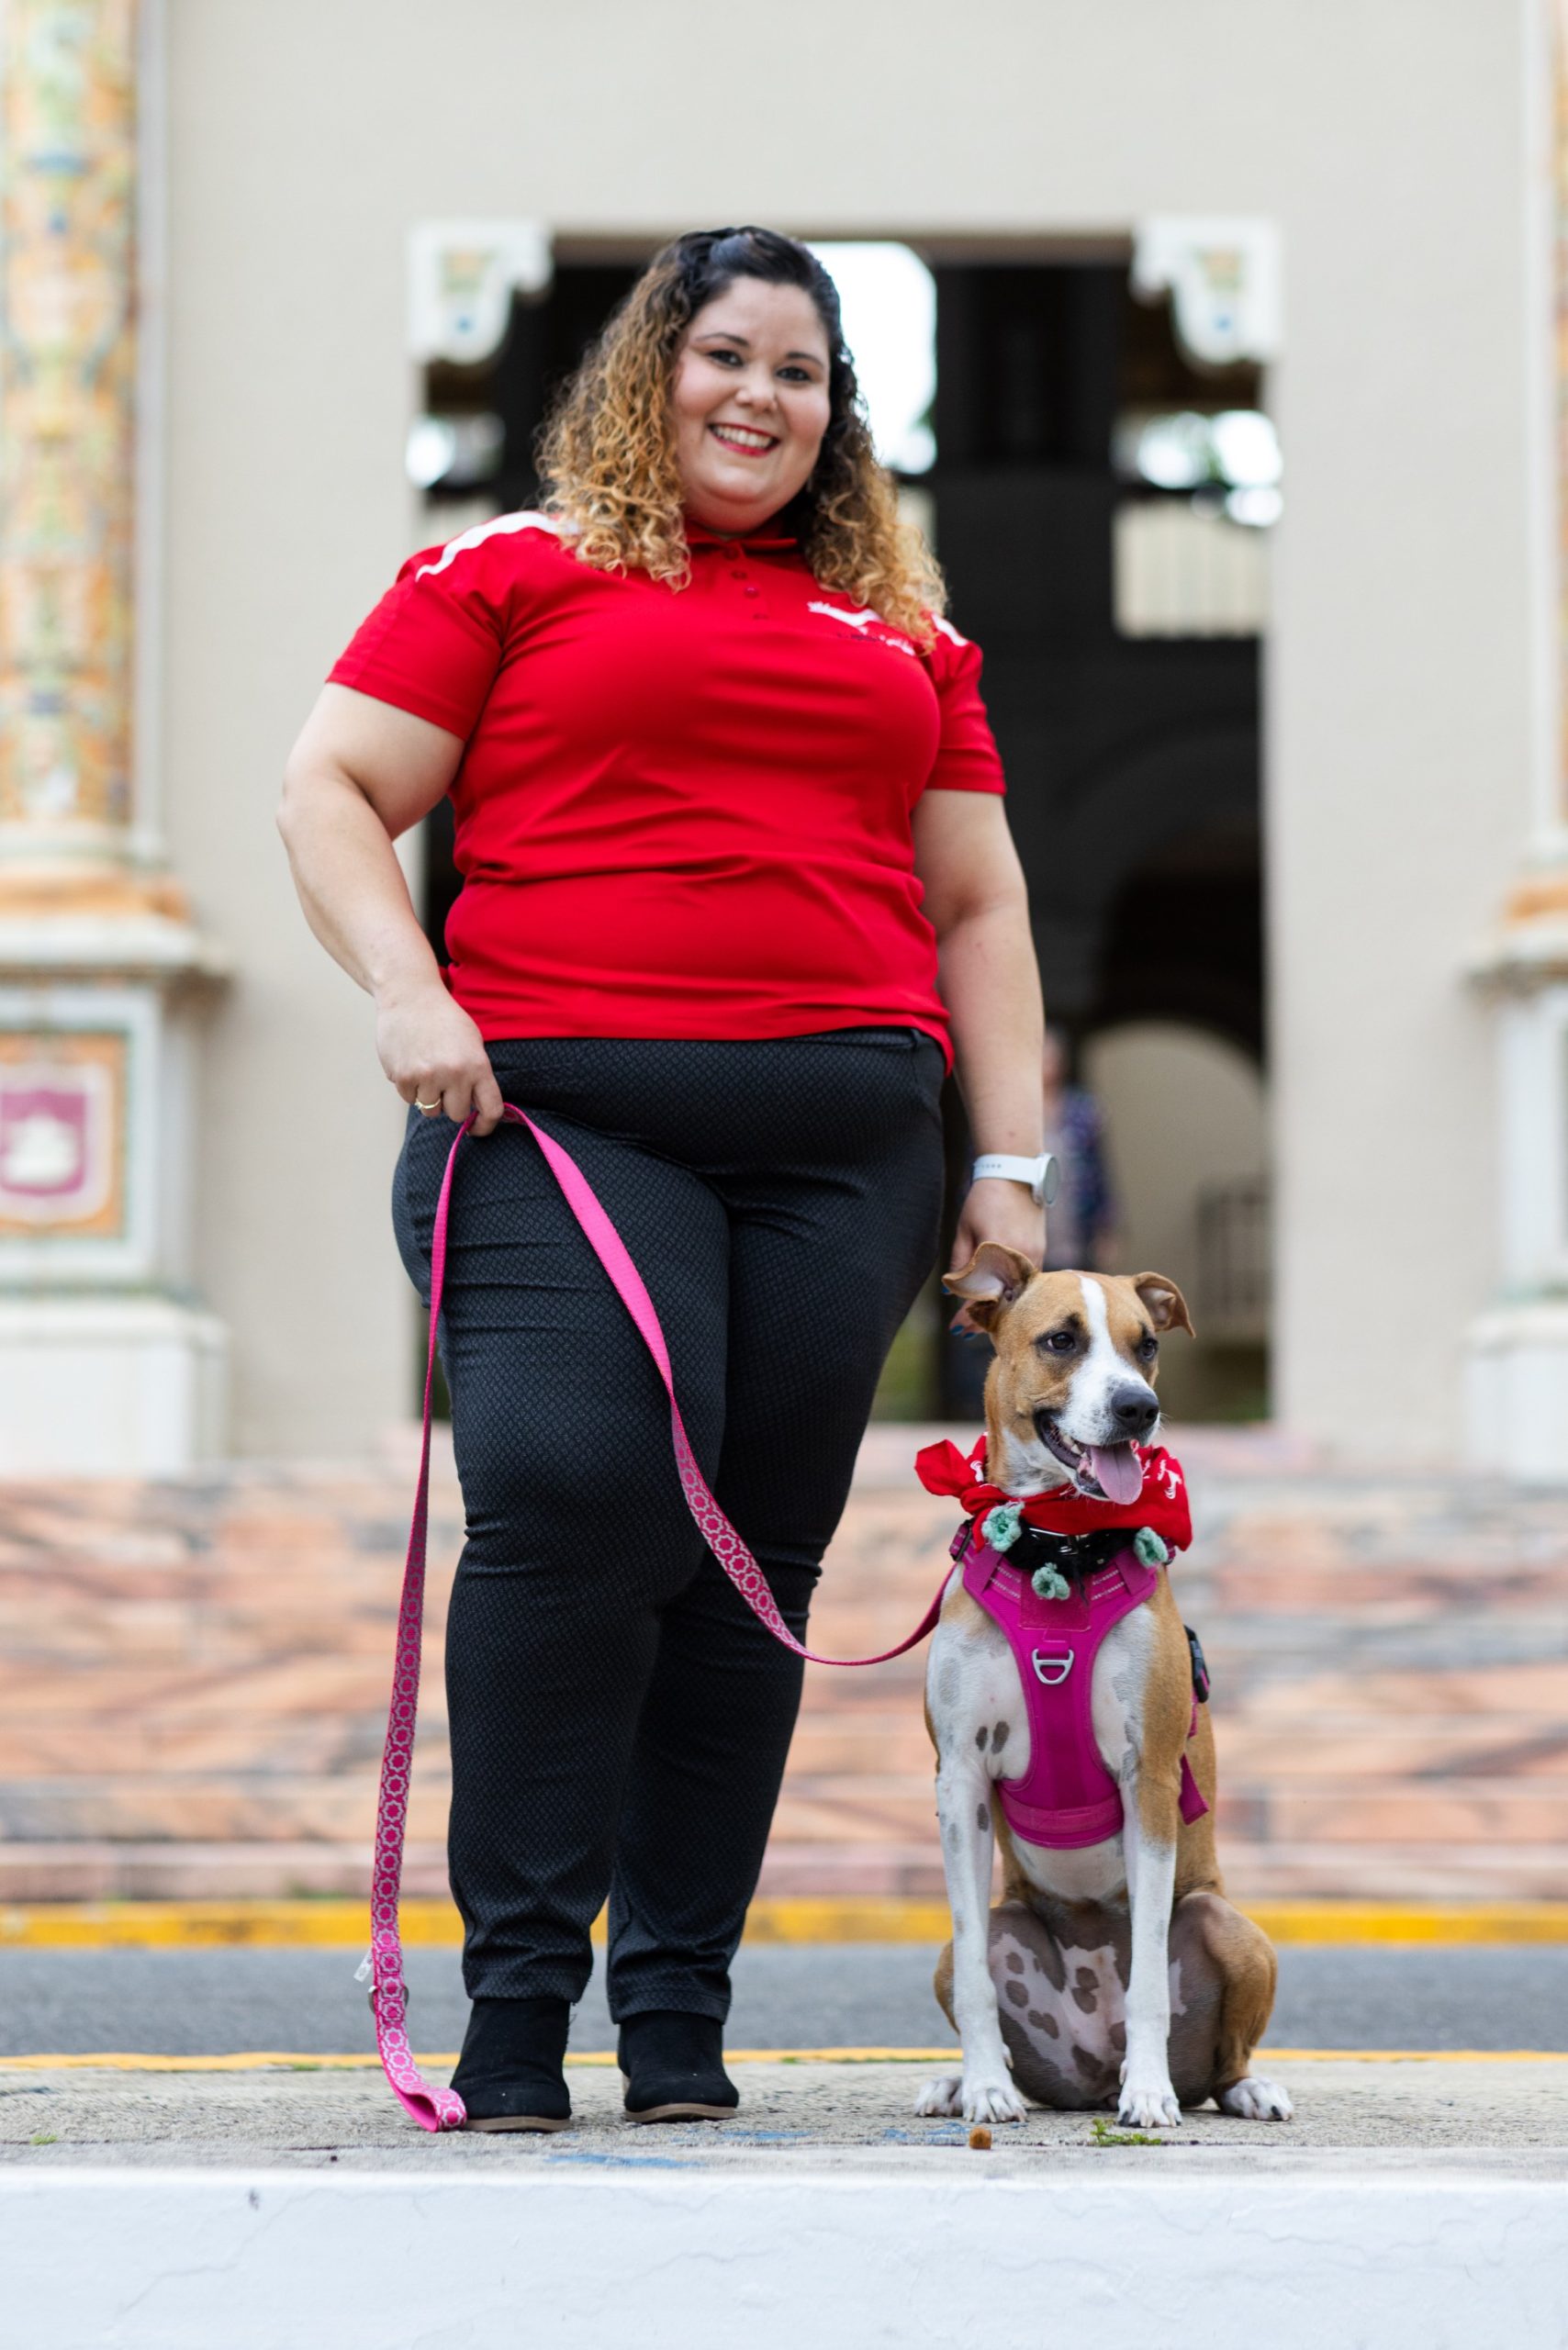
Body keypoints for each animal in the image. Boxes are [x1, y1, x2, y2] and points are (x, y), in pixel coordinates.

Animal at [916, 1247, 1291, 2130]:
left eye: (1146, 1343)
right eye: (1061, 1340)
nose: (1137, 1408)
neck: (1057, 1550)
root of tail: (1088, 2068)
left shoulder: (1145, 1778)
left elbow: (1150, 1977)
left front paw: (1148, 2093)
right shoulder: (960, 1782)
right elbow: (978, 1978)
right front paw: (981, 2087)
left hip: (1229, 1926)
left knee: (1222, 2058)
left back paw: (1237, 2087)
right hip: (981, 1937)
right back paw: (966, 2084)